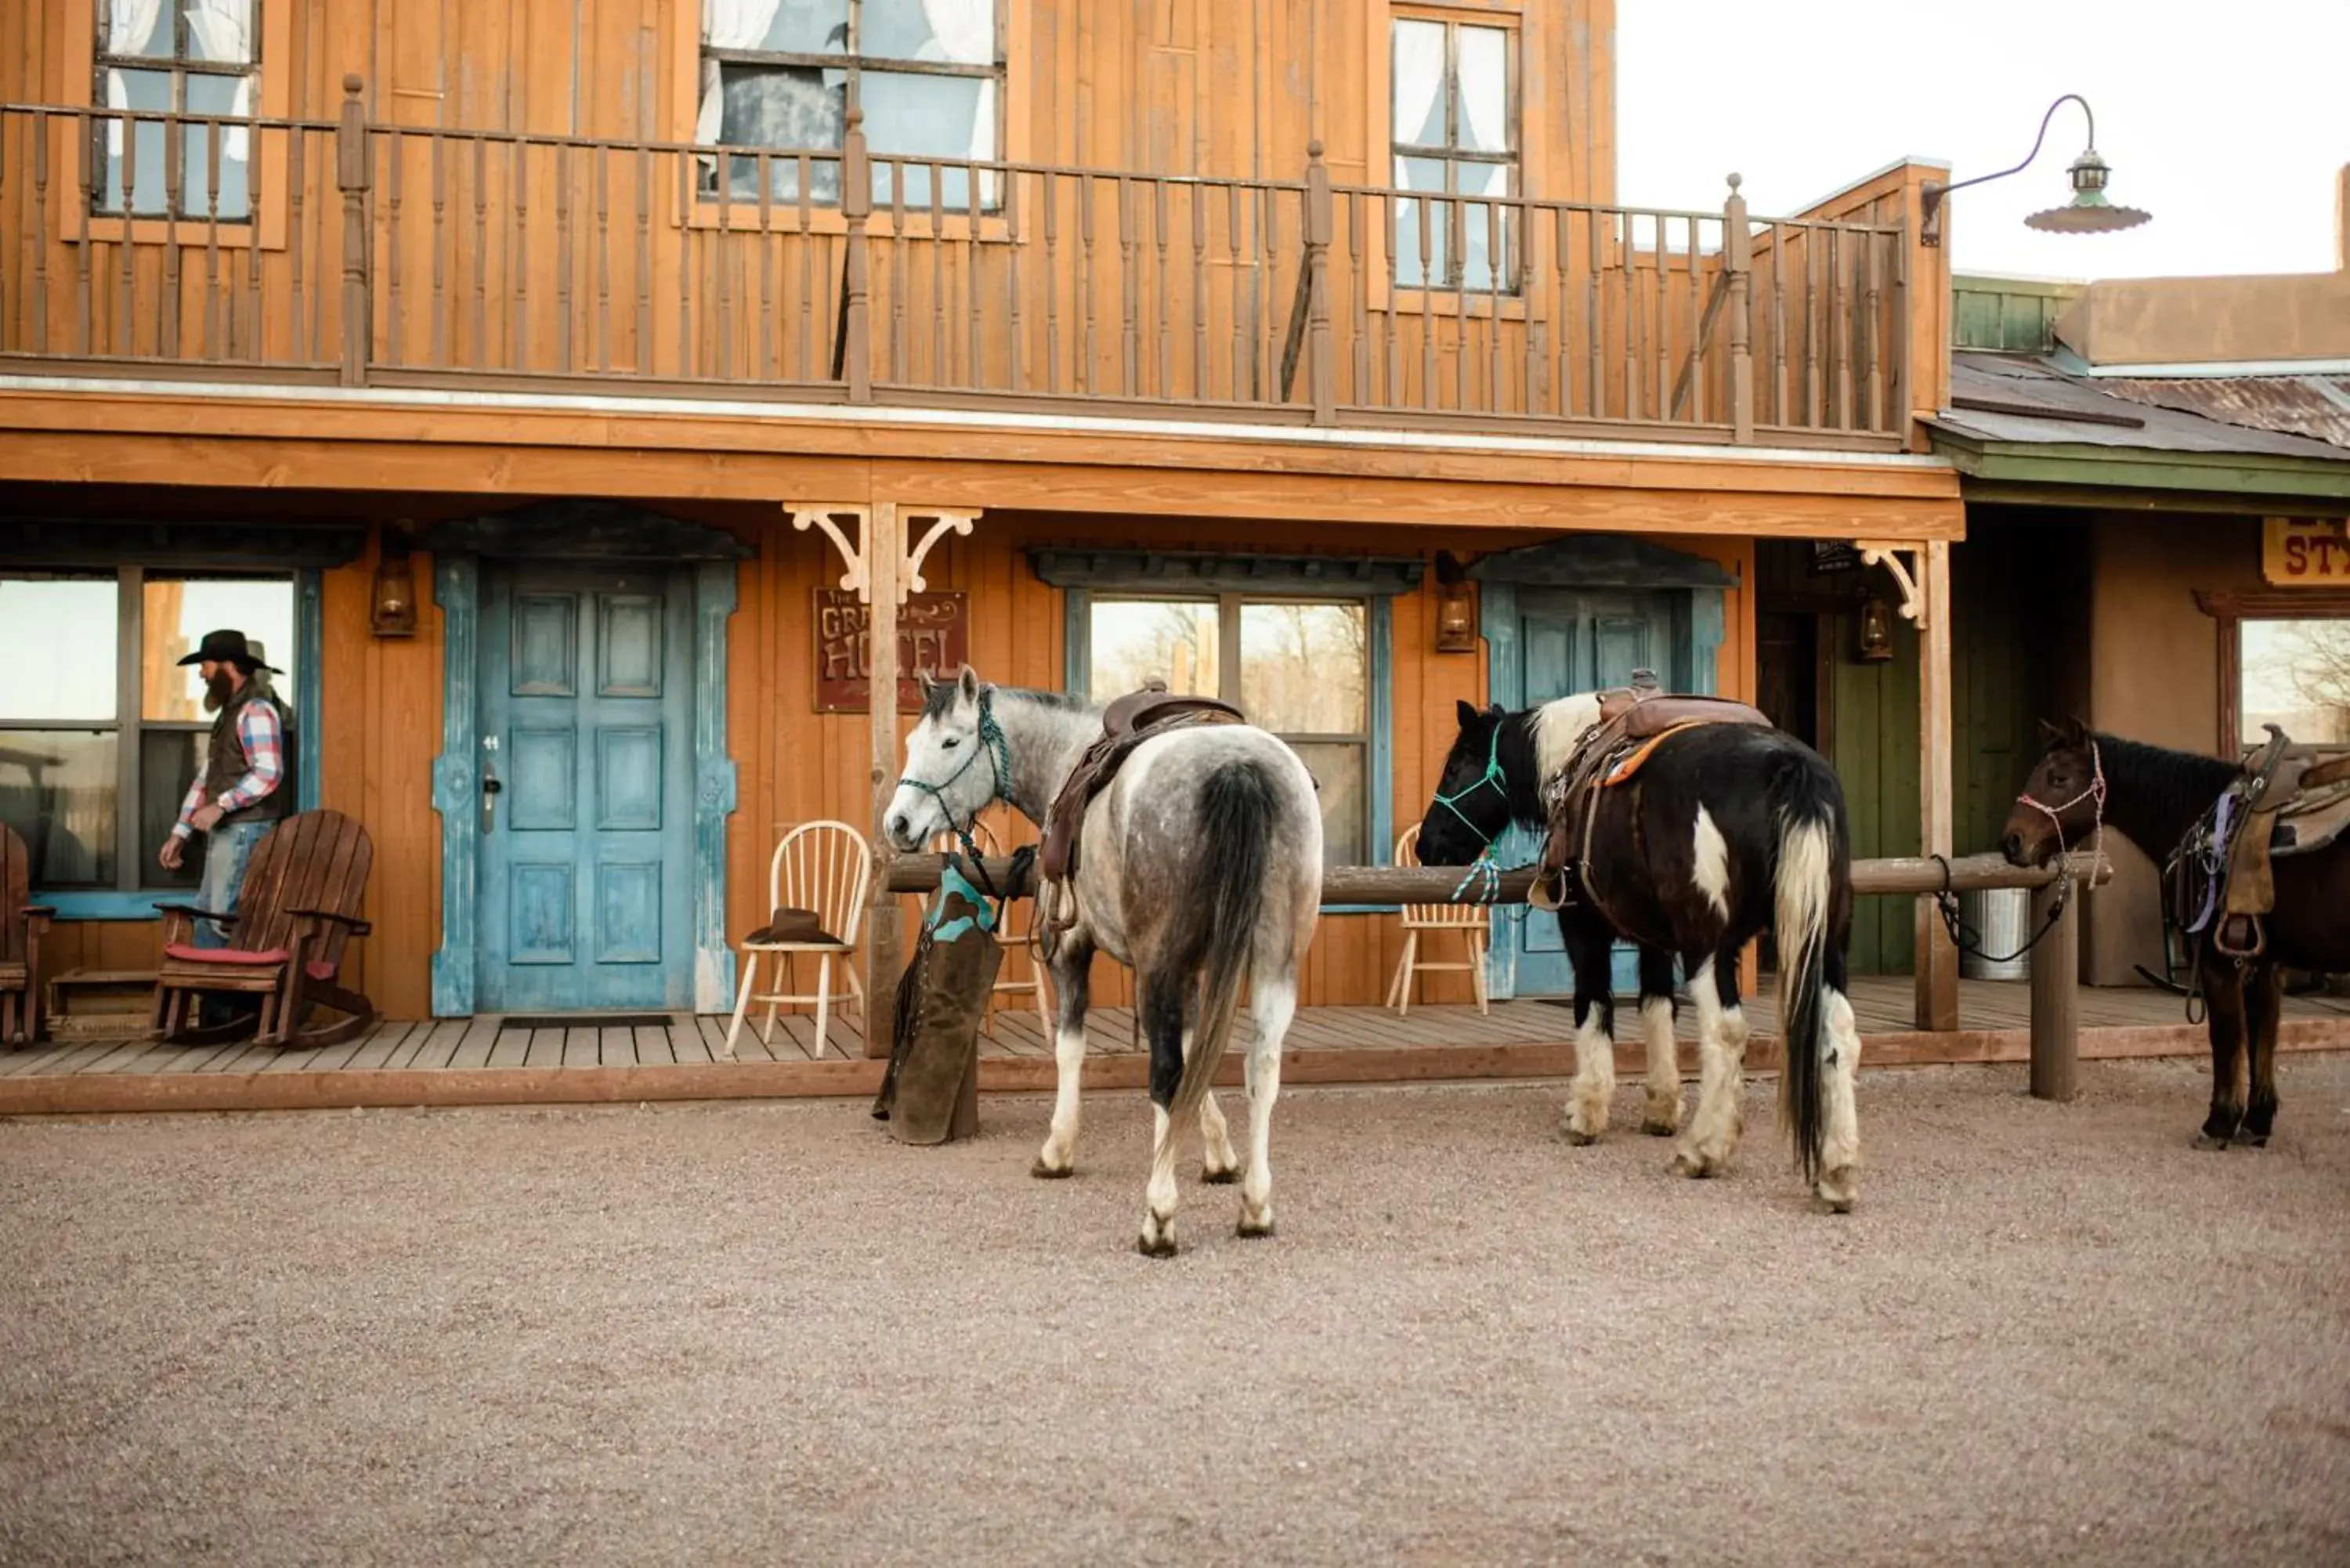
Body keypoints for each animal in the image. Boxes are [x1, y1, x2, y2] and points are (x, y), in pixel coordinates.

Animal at [884, 667, 1325, 1259]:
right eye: (914, 742)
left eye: (950, 742)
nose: (898, 823)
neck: (1066, 756)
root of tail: (1238, 765)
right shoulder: (1192, 969)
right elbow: (1198, 1050)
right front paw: (1218, 1153)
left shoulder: (1072, 947)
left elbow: (1073, 1049)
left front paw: (1058, 1150)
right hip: (1278, 957)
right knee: (1262, 1069)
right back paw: (1255, 1207)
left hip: (1161, 961)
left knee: (1165, 1074)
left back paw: (1159, 1217)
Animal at [1401, 695, 1861, 1212]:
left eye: (1456, 766)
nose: (1428, 846)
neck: (1571, 763)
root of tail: (1787, 767)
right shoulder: (1655, 939)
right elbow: (1656, 1007)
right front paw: (1661, 1107)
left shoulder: (1583, 928)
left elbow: (1594, 1006)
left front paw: (1585, 1113)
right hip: (1826, 941)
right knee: (1839, 1034)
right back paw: (1837, 1172)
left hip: (1709, 945)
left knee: (1726, 1032)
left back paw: (1702, 1150)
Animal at [2002, 719, 2350, 1147]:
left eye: (2059, 777)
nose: (2012, 841)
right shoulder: (2264, 963)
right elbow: (2262, 1035)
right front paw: (2256, 1121)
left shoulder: (2219, 960)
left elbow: (2227, 1035)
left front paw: (2219, 1122)